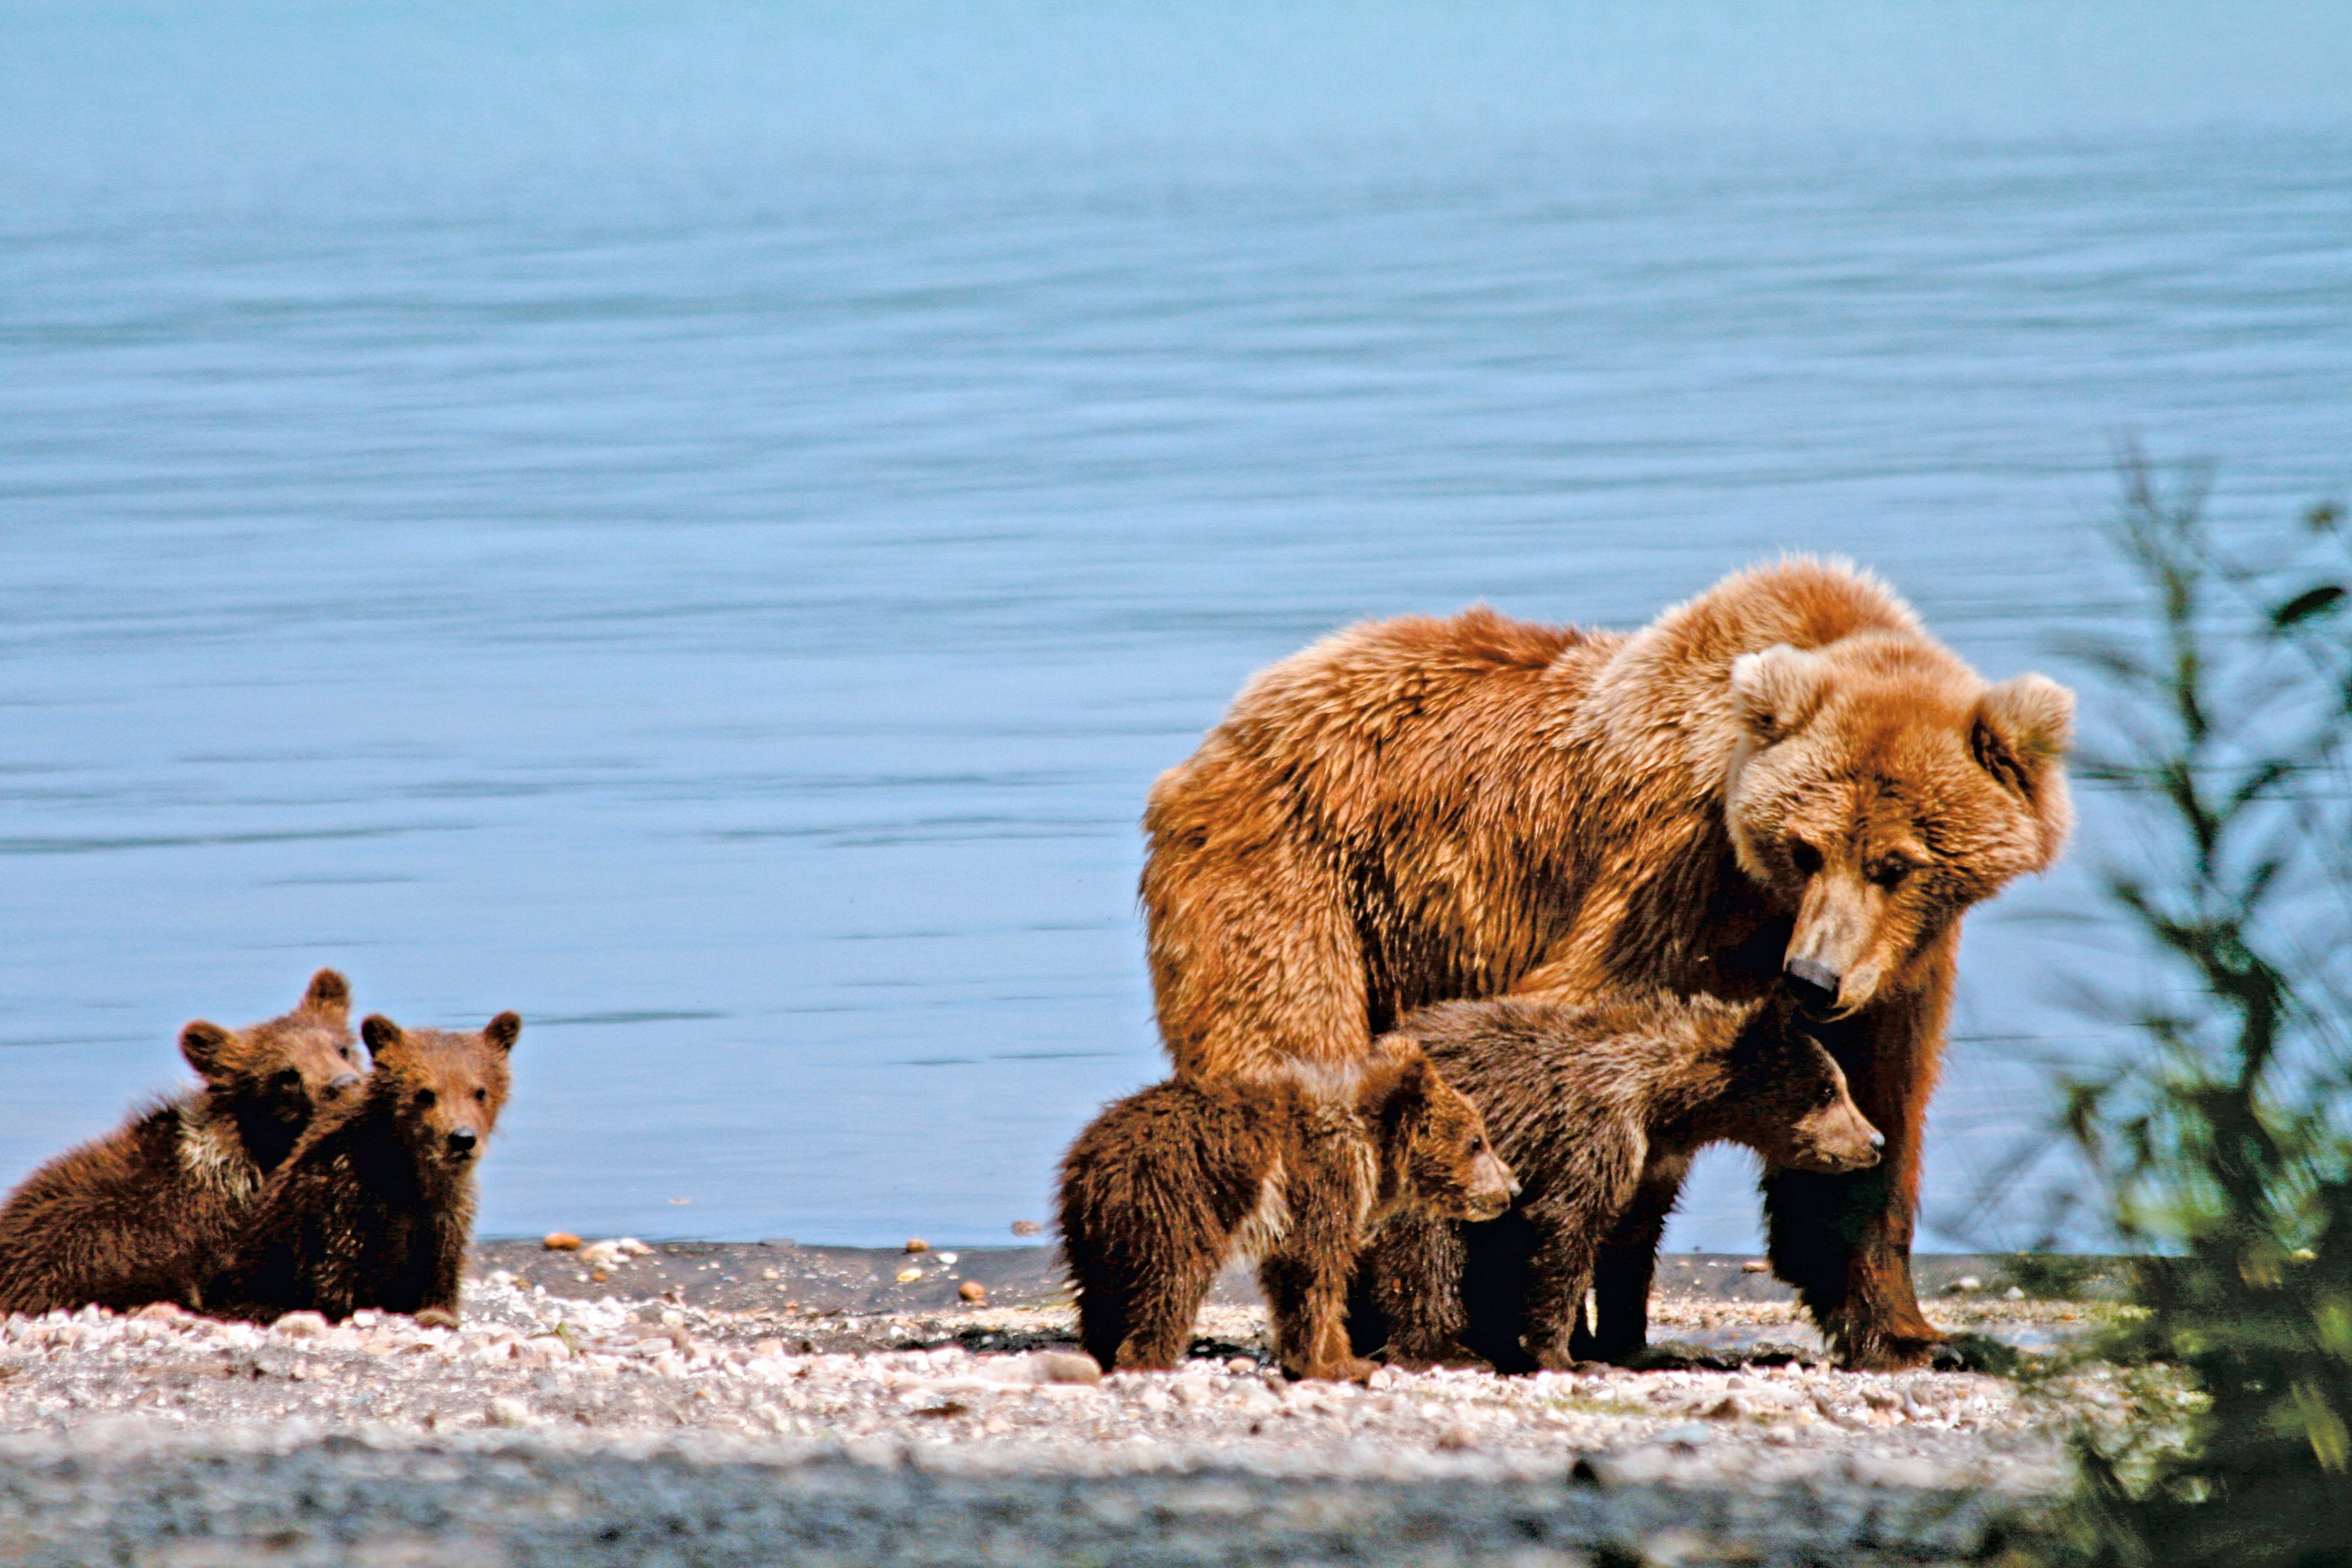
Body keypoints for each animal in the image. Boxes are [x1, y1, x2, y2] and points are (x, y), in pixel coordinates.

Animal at [1143, 557, 2079, 1363]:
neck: (1767, 906)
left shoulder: (1895, 973)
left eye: (1897, 864)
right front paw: (1532, 1316)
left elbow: (1875, 1119)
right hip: (1297, 883)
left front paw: (1914, 1335)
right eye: (1806, 847)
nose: (1812, 980)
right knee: (1304, 1059)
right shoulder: (1672, 883)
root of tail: (1226, 730)